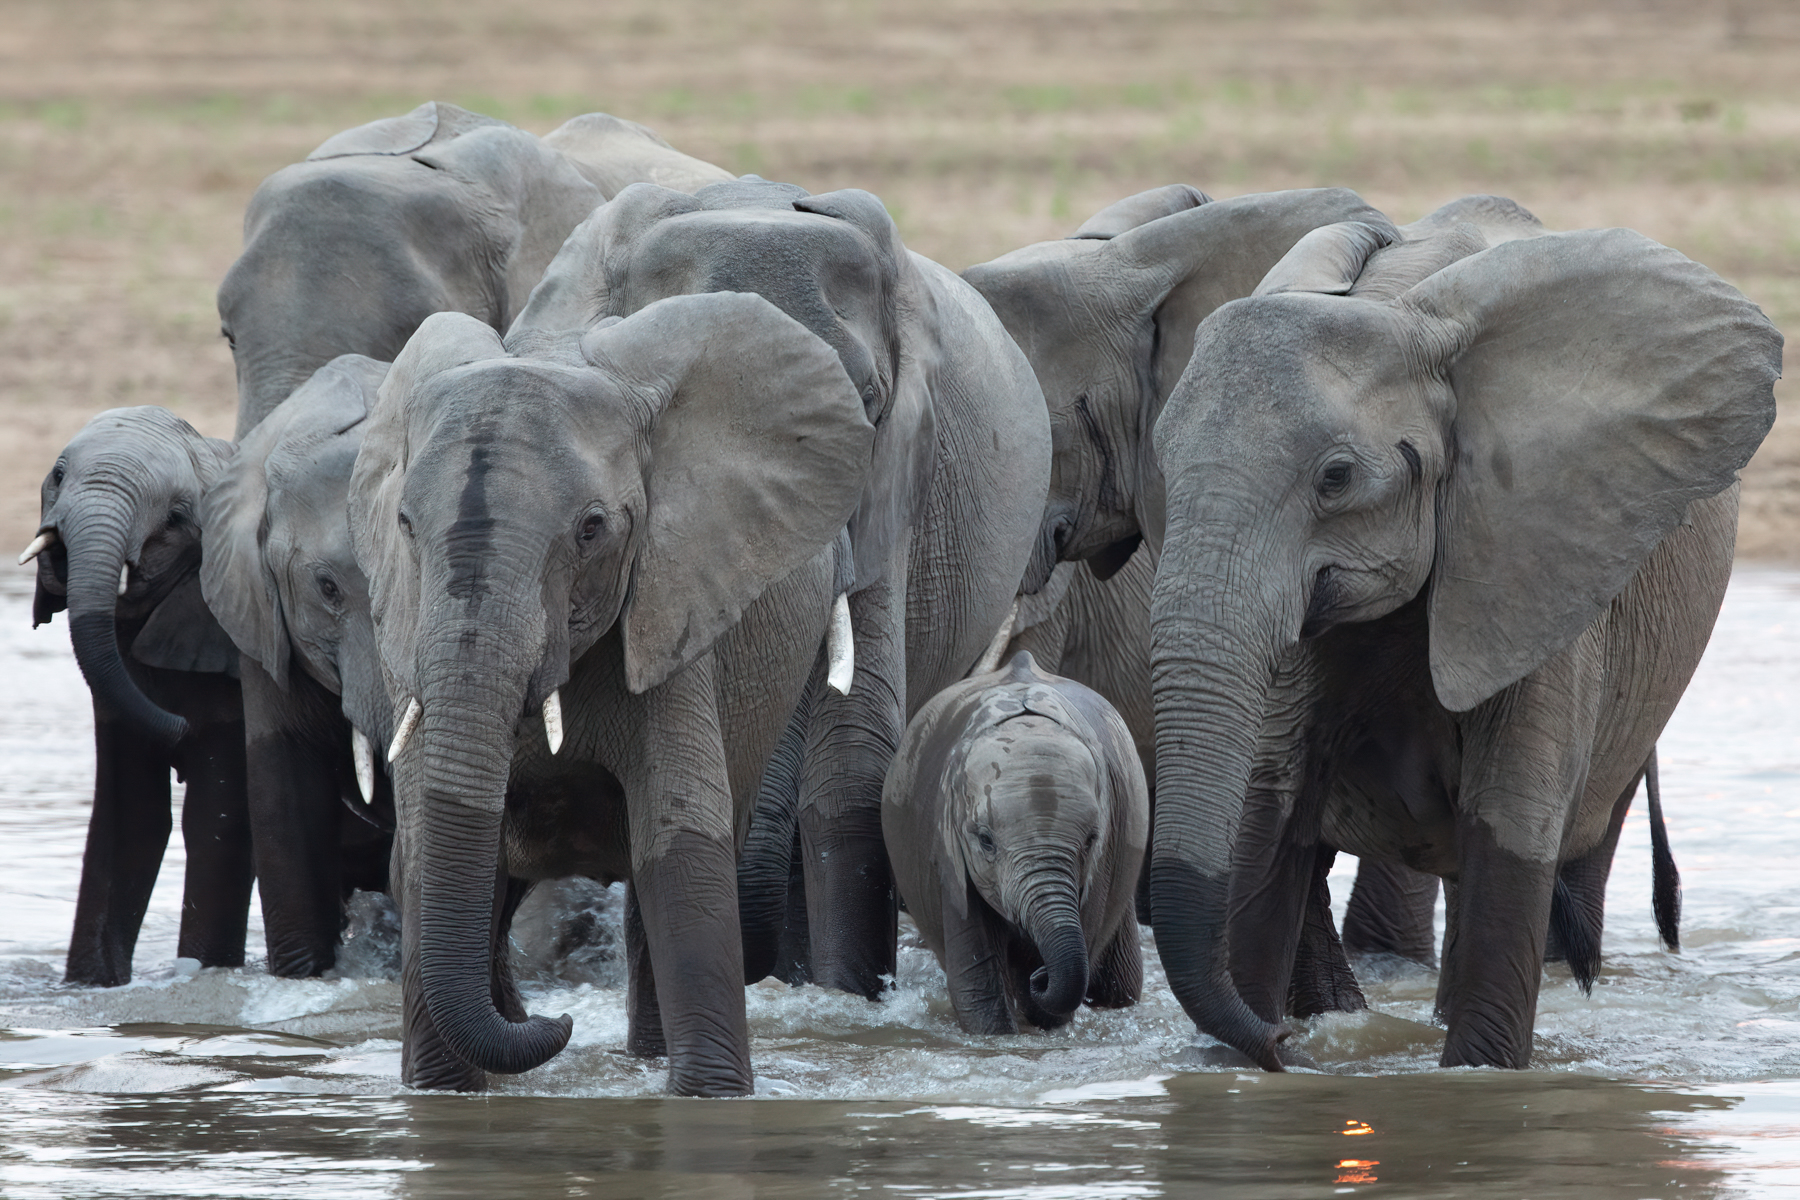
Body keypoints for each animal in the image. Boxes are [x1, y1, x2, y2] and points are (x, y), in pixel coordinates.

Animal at [22, 408, 250, 985]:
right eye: (58, 474)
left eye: (175, 517)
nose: (178, 727)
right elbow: (131, 819)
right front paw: (91, 986)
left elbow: (217, 819)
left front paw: (201, 974)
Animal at [347, 292, 876, 1095]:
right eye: (405, 525)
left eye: (592, 529)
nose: (559, 1020)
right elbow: (428, 851)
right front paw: (441, 1098)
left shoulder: (676, 602)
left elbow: (682, 856)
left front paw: (710, 1100)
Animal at [883, 651, 1148, 1034]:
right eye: (985, 840)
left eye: (1090, 840)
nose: (1040, 976)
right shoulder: (948, 849)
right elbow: (977, 986)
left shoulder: (1104, 860)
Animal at [1134, 199, 1779, 1069]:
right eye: (1162, 466)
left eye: (1336, 478)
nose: (1285, 1042)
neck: (1402, 315)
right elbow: (1268, 826)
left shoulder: (1537, 555)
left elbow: (1509, 838)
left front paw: (1477, 1077)